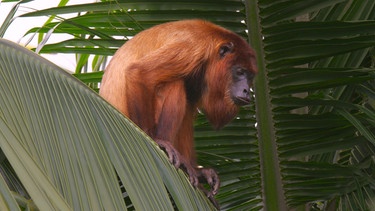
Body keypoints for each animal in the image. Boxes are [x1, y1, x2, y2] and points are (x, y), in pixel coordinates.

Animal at [100, 19, 258, 204]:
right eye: (240, 72)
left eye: (250, 77)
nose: (247, 91)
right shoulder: (193, 48)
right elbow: (140, 72)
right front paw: (154, 139)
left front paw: (199, 172)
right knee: (175, 83)